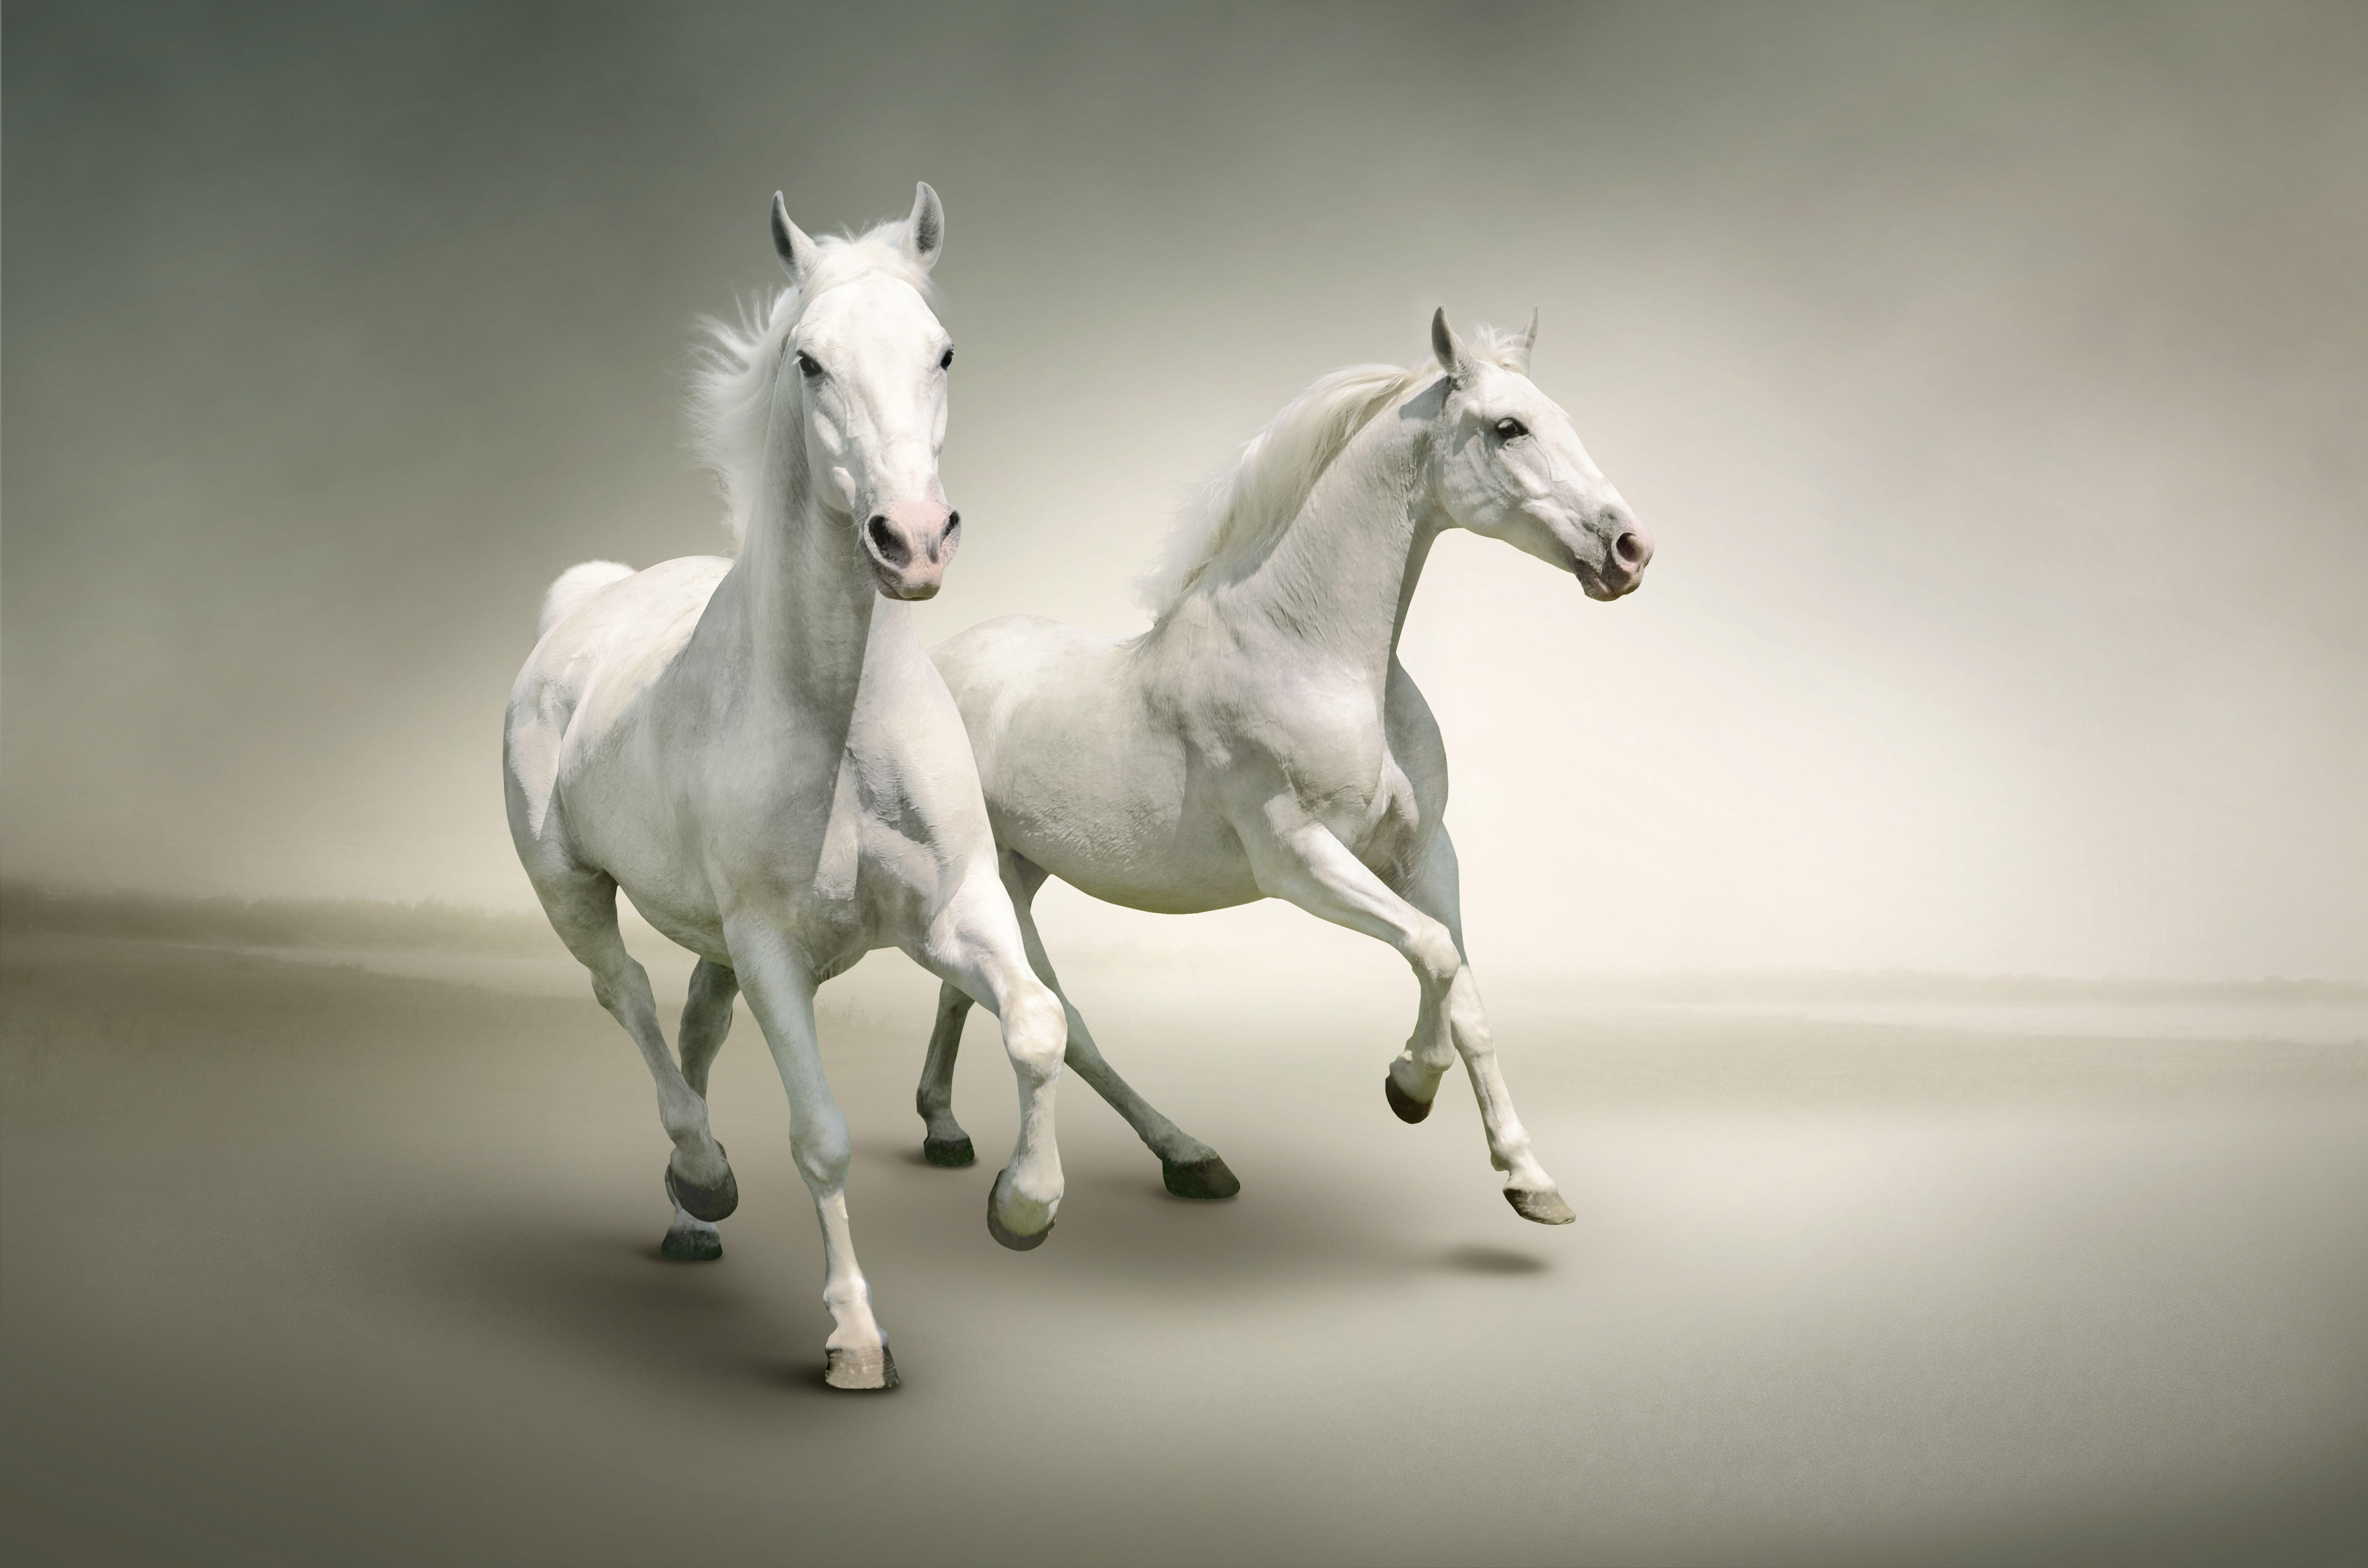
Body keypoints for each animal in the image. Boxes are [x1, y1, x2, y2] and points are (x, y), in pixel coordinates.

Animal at [504, 184, 1068, 1391]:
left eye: (942, 351)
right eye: (809, 362)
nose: (912, 540)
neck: (838, 718)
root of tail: (586, 603)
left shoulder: (953, 910)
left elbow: (1038, 1023)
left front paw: (1022, 1206)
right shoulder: (772, 948)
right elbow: (821, 1136)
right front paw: (855, 1341)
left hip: (711, 940)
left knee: (693, 1024)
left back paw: (689, 1216)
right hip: (571, 891)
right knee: (626, 997)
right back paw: (702, 1175)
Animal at [913, 308, 1651, 1225]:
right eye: (1508, 427)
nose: (1629, 549)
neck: (1312, 652)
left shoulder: (1424, 854)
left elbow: (1466, 992)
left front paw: (1528, 1178)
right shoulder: (1299, 861)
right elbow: (1435, 955)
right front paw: (1408, 1085)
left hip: (1019, 869)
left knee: (966, 991)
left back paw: (947, 1129)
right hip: (1000, 882)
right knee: (1059, 1018)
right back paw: (1177, 1157)